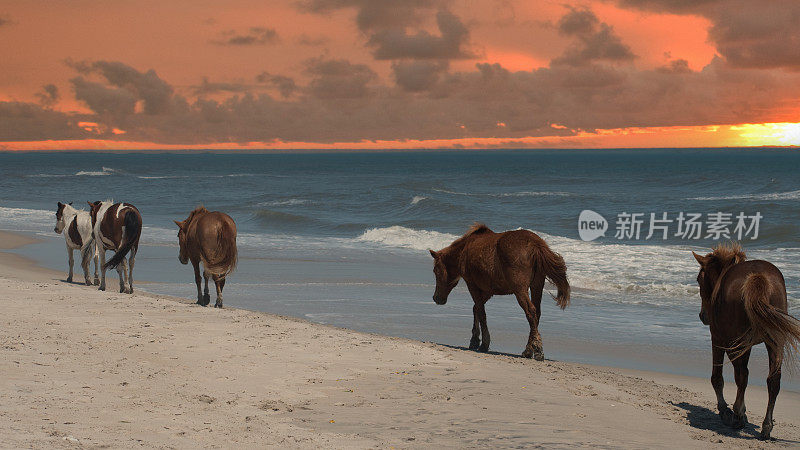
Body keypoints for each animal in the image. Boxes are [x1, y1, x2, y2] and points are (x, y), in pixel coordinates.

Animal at [432, 225, 568, 362]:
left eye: (435, 270)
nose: (436, 298)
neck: (464, 250)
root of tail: (535, 244)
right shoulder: (489, 291)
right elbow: (476, 309)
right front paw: (475, 340)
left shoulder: (473, 285)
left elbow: (481, 312)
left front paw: (483, 343)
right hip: (536, 286)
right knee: (537, 313)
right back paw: (529, 350)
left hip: (520, 290)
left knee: (531, 311)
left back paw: (537, 350)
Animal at [692, 243, 800, 440]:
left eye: (699, 279)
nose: (703, 316)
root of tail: (758, 277)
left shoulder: (718, 339)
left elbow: (717, 377)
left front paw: (726, 411)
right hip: (775, 342)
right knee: (773, 380)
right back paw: (766, 426)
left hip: (736, 344)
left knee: (741, 376)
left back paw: (737, 416)